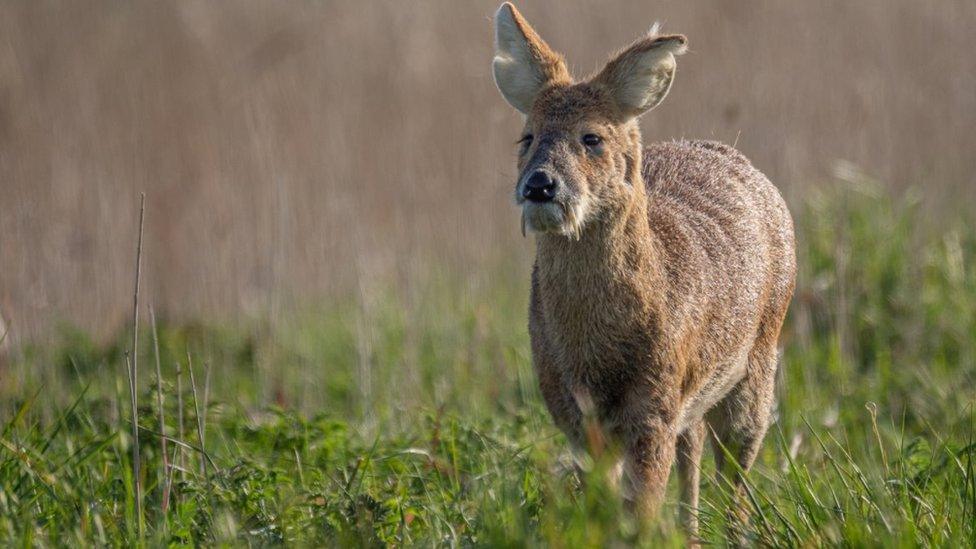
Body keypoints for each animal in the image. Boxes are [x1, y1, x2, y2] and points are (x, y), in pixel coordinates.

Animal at [492, 2, 796, 536]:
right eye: (527, 136)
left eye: (591, 137)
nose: (540, 185)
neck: (595, 352)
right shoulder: (573, 412)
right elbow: (604, 505)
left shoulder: (652, 406)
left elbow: (643, 508)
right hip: (694, 399)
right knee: (694, 451)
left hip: (757, 368)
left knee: (736, 476)